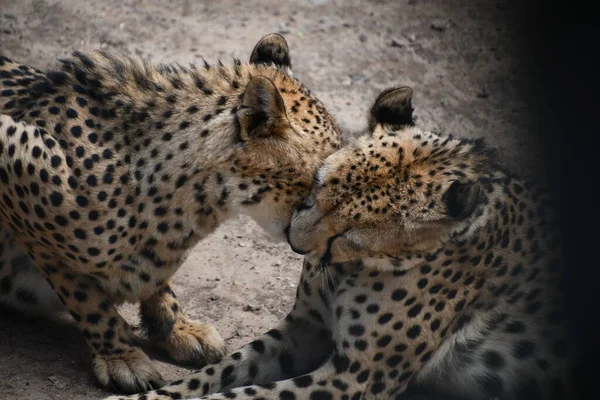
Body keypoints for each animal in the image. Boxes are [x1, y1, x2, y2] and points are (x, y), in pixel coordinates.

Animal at [105, 86, 576, 398]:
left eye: (350, 236)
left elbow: (242, 393)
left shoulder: (354, 377)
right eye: (317, 183)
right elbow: (221, 372)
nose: (295, 246)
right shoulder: (306, 327)